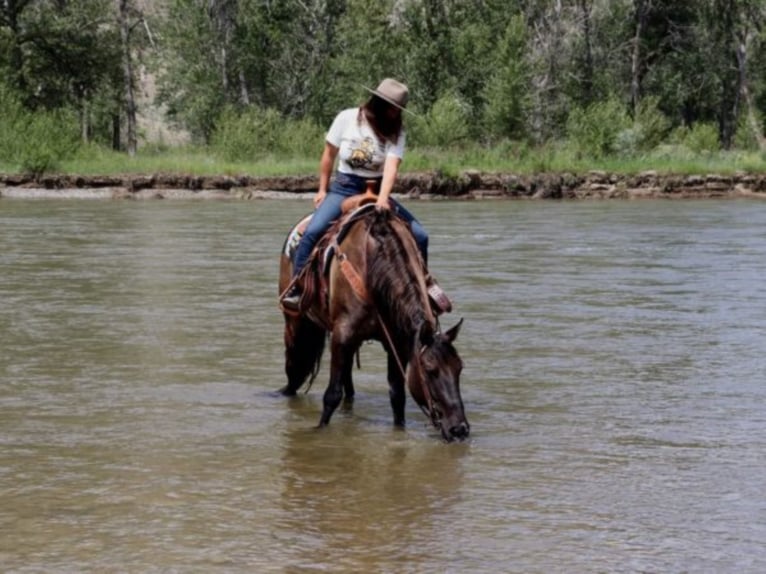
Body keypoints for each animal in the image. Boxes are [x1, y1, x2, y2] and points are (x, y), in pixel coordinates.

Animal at [276, 205, 468, 444]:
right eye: (430, 370)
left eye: (459, 368)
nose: (459, 429)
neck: (374, 268)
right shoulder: (342, 335)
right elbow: (331, 395)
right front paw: (320, 431)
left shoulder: (396, 342)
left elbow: (397, 396)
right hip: (295, 322)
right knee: (294, 367)